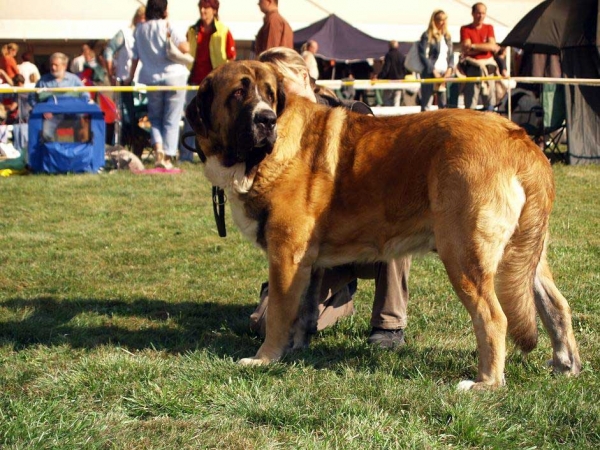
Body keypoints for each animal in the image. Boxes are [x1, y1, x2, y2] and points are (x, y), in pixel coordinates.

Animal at [185, 60, 580, 390]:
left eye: (269, 95)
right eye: (238, 93)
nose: (266, 119)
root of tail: (521, 139)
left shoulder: (285, 256)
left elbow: (280, 313)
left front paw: (265, 358)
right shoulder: (305, 263)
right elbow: (302, 310)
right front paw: (294, 350)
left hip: (464, 255)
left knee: (494, 318)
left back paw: (485, 383)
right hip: (524, 255)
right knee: (555, 305)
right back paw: (565, 365)